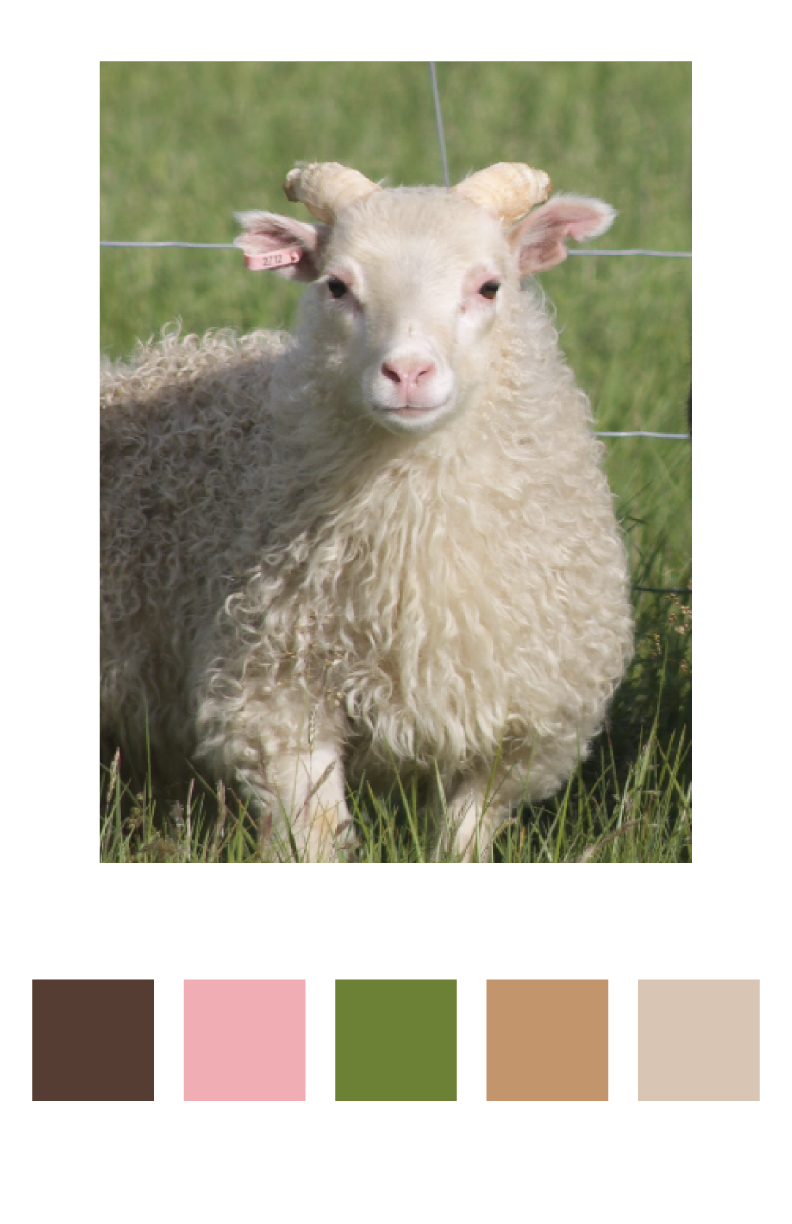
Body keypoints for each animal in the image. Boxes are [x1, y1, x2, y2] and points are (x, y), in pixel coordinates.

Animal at [101, 160, 634, 862]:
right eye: (336, 285)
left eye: (490, 286)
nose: (407, 373)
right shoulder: (274, 695)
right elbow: (316, 835)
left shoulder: (519, 728)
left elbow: (463, 838)